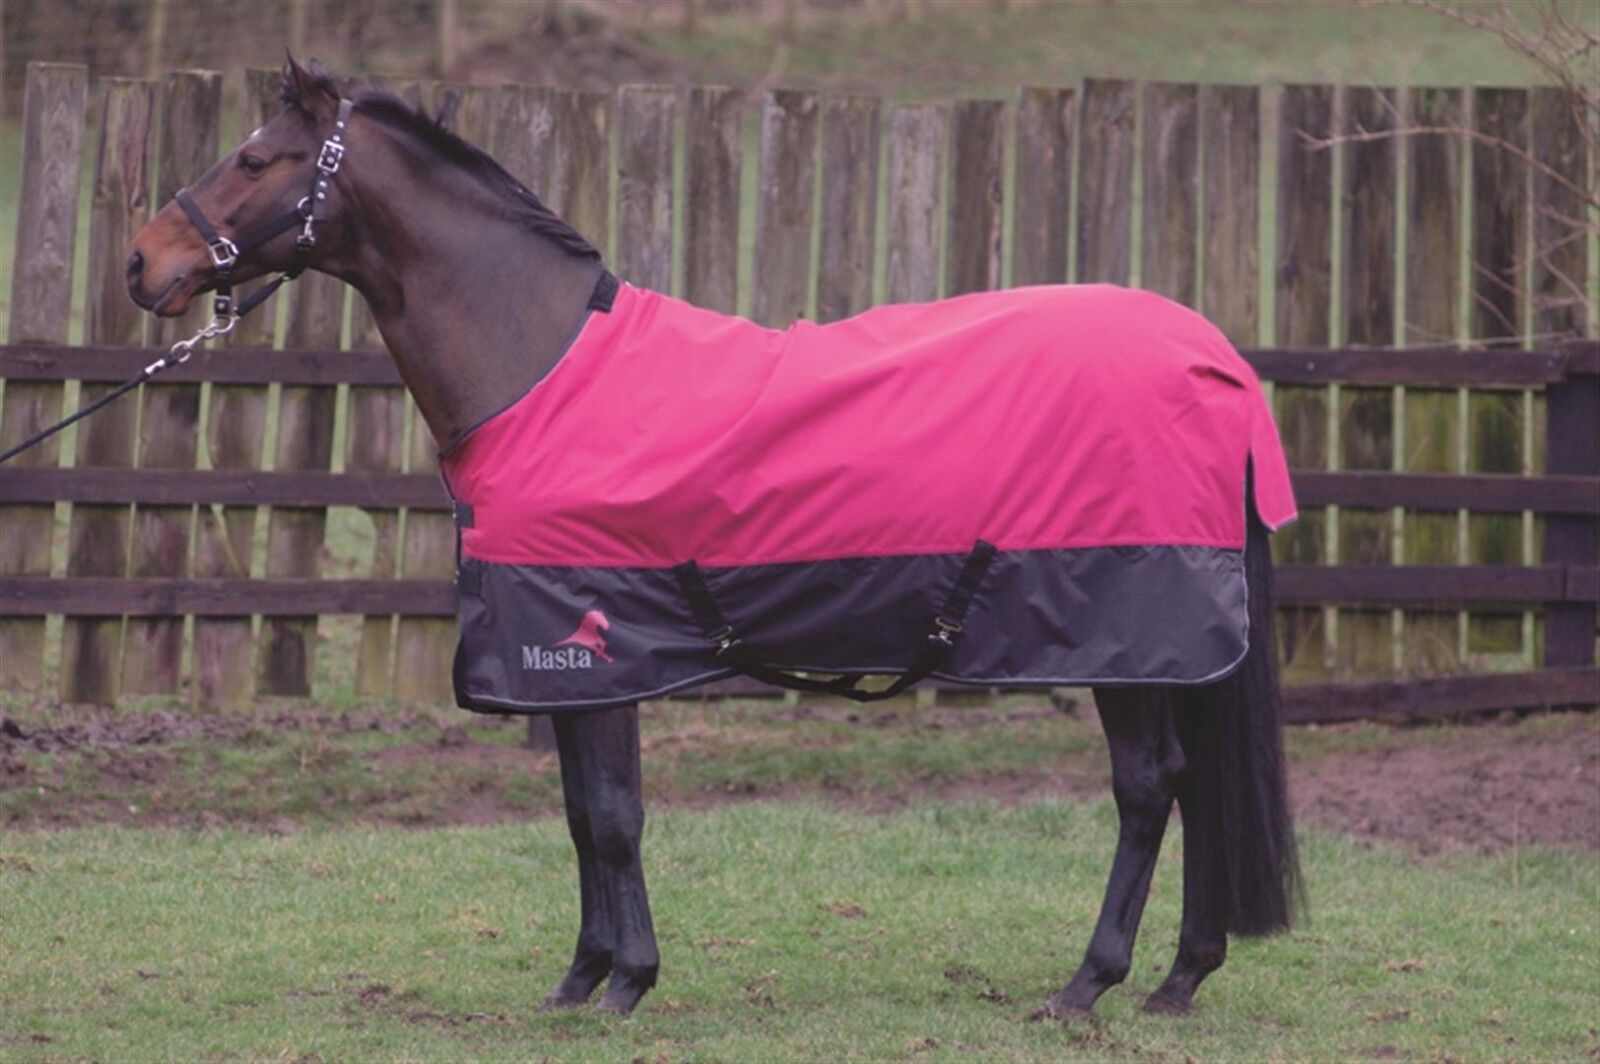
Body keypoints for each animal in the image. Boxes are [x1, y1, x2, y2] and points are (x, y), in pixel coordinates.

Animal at [127, 57, 1302, 1019]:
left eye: (254, 159)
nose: (145, 262)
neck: (541, 363)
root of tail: (1213, 358)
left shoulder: (593, 646)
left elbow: (611, 815)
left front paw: (628, 984)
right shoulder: (562, 664)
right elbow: (576, 815)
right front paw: (581, 977)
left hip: (1129, 639)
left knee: (1149, 787)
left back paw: (1087, 983)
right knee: (1193, 783)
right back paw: (1179, 977)